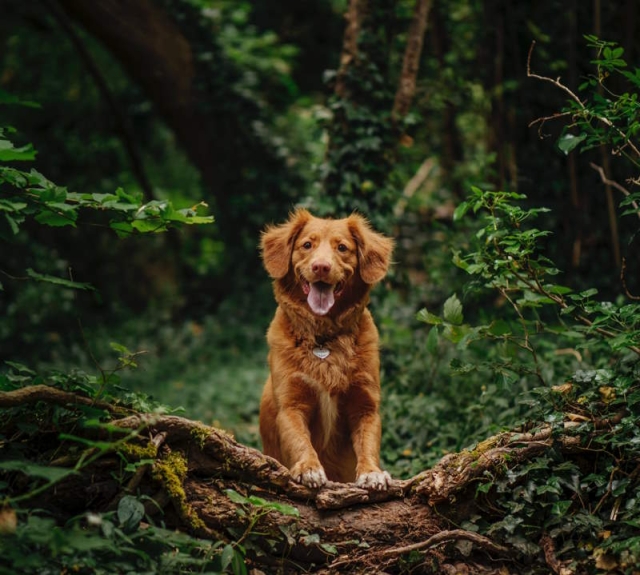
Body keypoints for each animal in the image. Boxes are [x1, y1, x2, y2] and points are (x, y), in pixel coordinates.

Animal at [258, 209, 390, 492]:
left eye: (342, 248)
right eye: (307, 245)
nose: (321, 267)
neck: (324, 339)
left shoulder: (365, 405)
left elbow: (368, 443)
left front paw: (371, 472)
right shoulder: (291, 404)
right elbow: (300, 440)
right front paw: (309, 468)